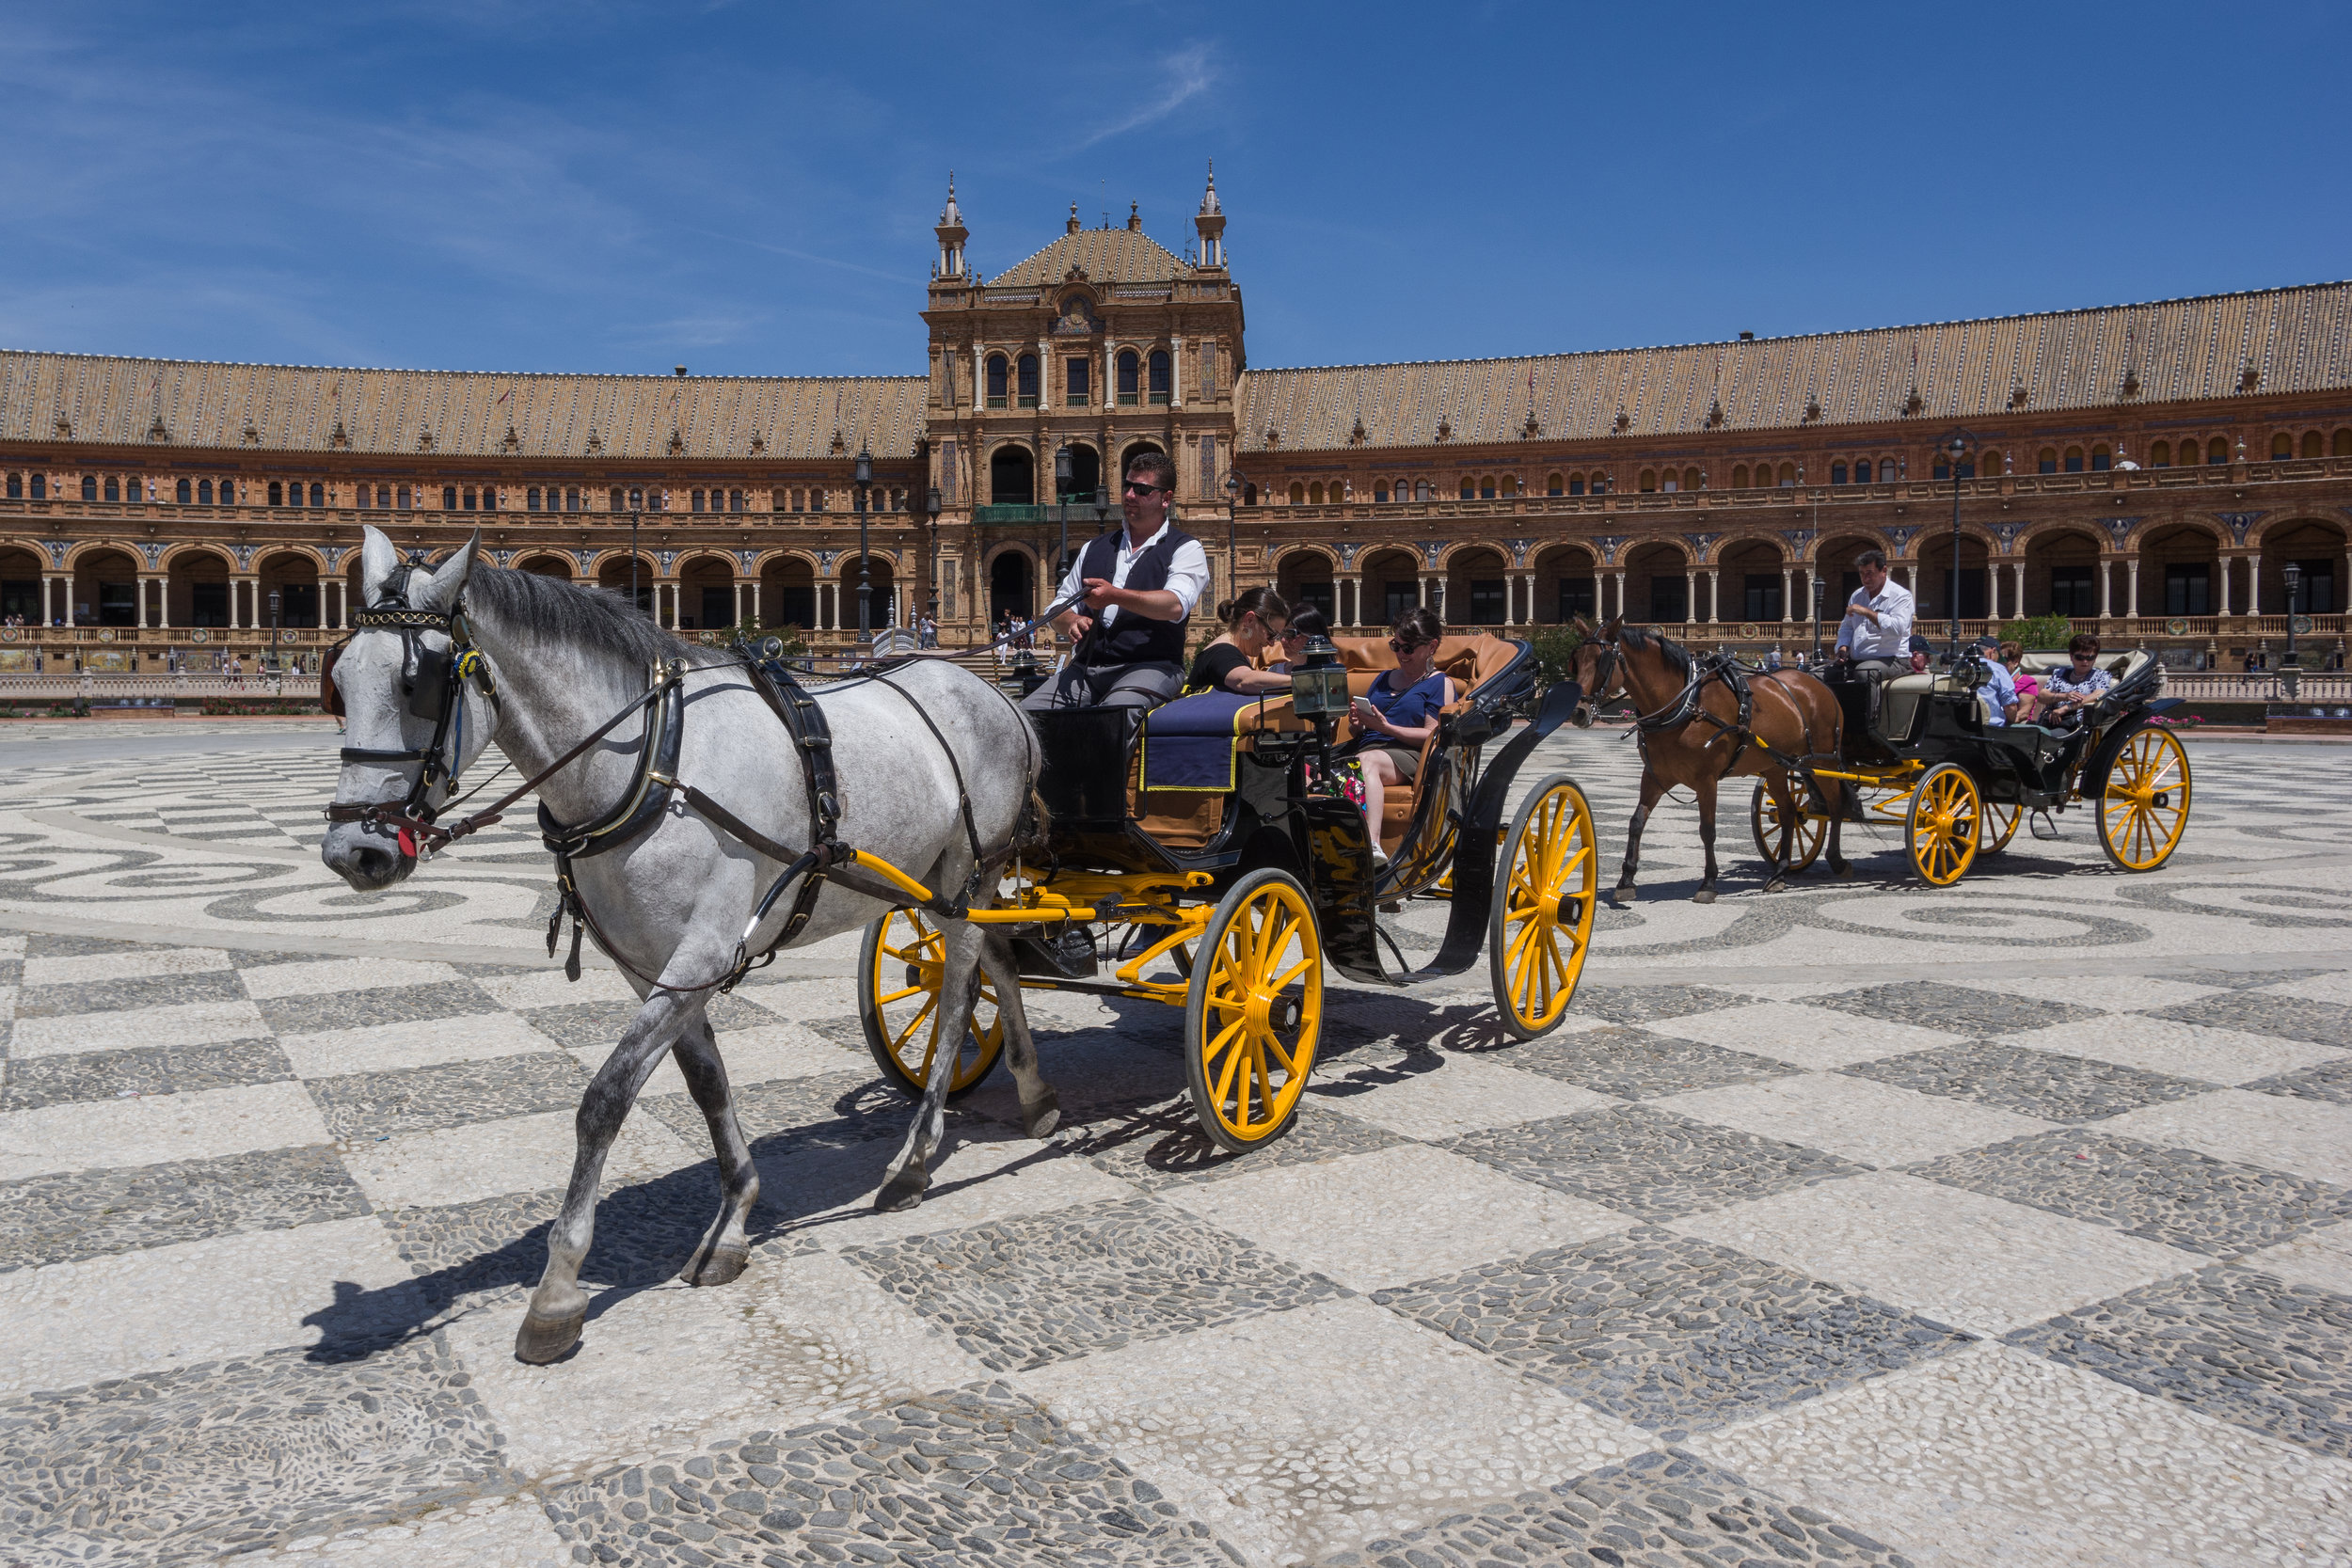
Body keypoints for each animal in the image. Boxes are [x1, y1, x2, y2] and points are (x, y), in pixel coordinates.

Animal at [317, 526, 1054, 1363]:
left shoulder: (701, 953)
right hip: (942, 882)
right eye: (337, 679)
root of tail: (994, 692)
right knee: (999, 959)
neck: (648, 760)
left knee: (959, 990)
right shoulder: (653, 967)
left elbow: (604, 1099)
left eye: (420, 682)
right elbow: (706, 1085)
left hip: (970, 869)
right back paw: (1035, 1096)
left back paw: (914, 1158)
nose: (353, 852)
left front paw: (557, 1291)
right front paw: (733, 1217)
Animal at [1562, 620, 1853, 902]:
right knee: (1789, 812)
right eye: (1576, 659)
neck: (1686, 705)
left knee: (1836, 805)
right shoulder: (1654, 776)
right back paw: (1780, 873)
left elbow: (1708, 830)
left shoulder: (1707, 780)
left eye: (1602, 660)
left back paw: (1837, 860)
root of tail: (1817, 683)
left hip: (1823, 762)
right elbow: (1636, 822)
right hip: (1776, 767)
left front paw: (1709, 883)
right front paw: (1626, 880)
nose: (1577, 712)